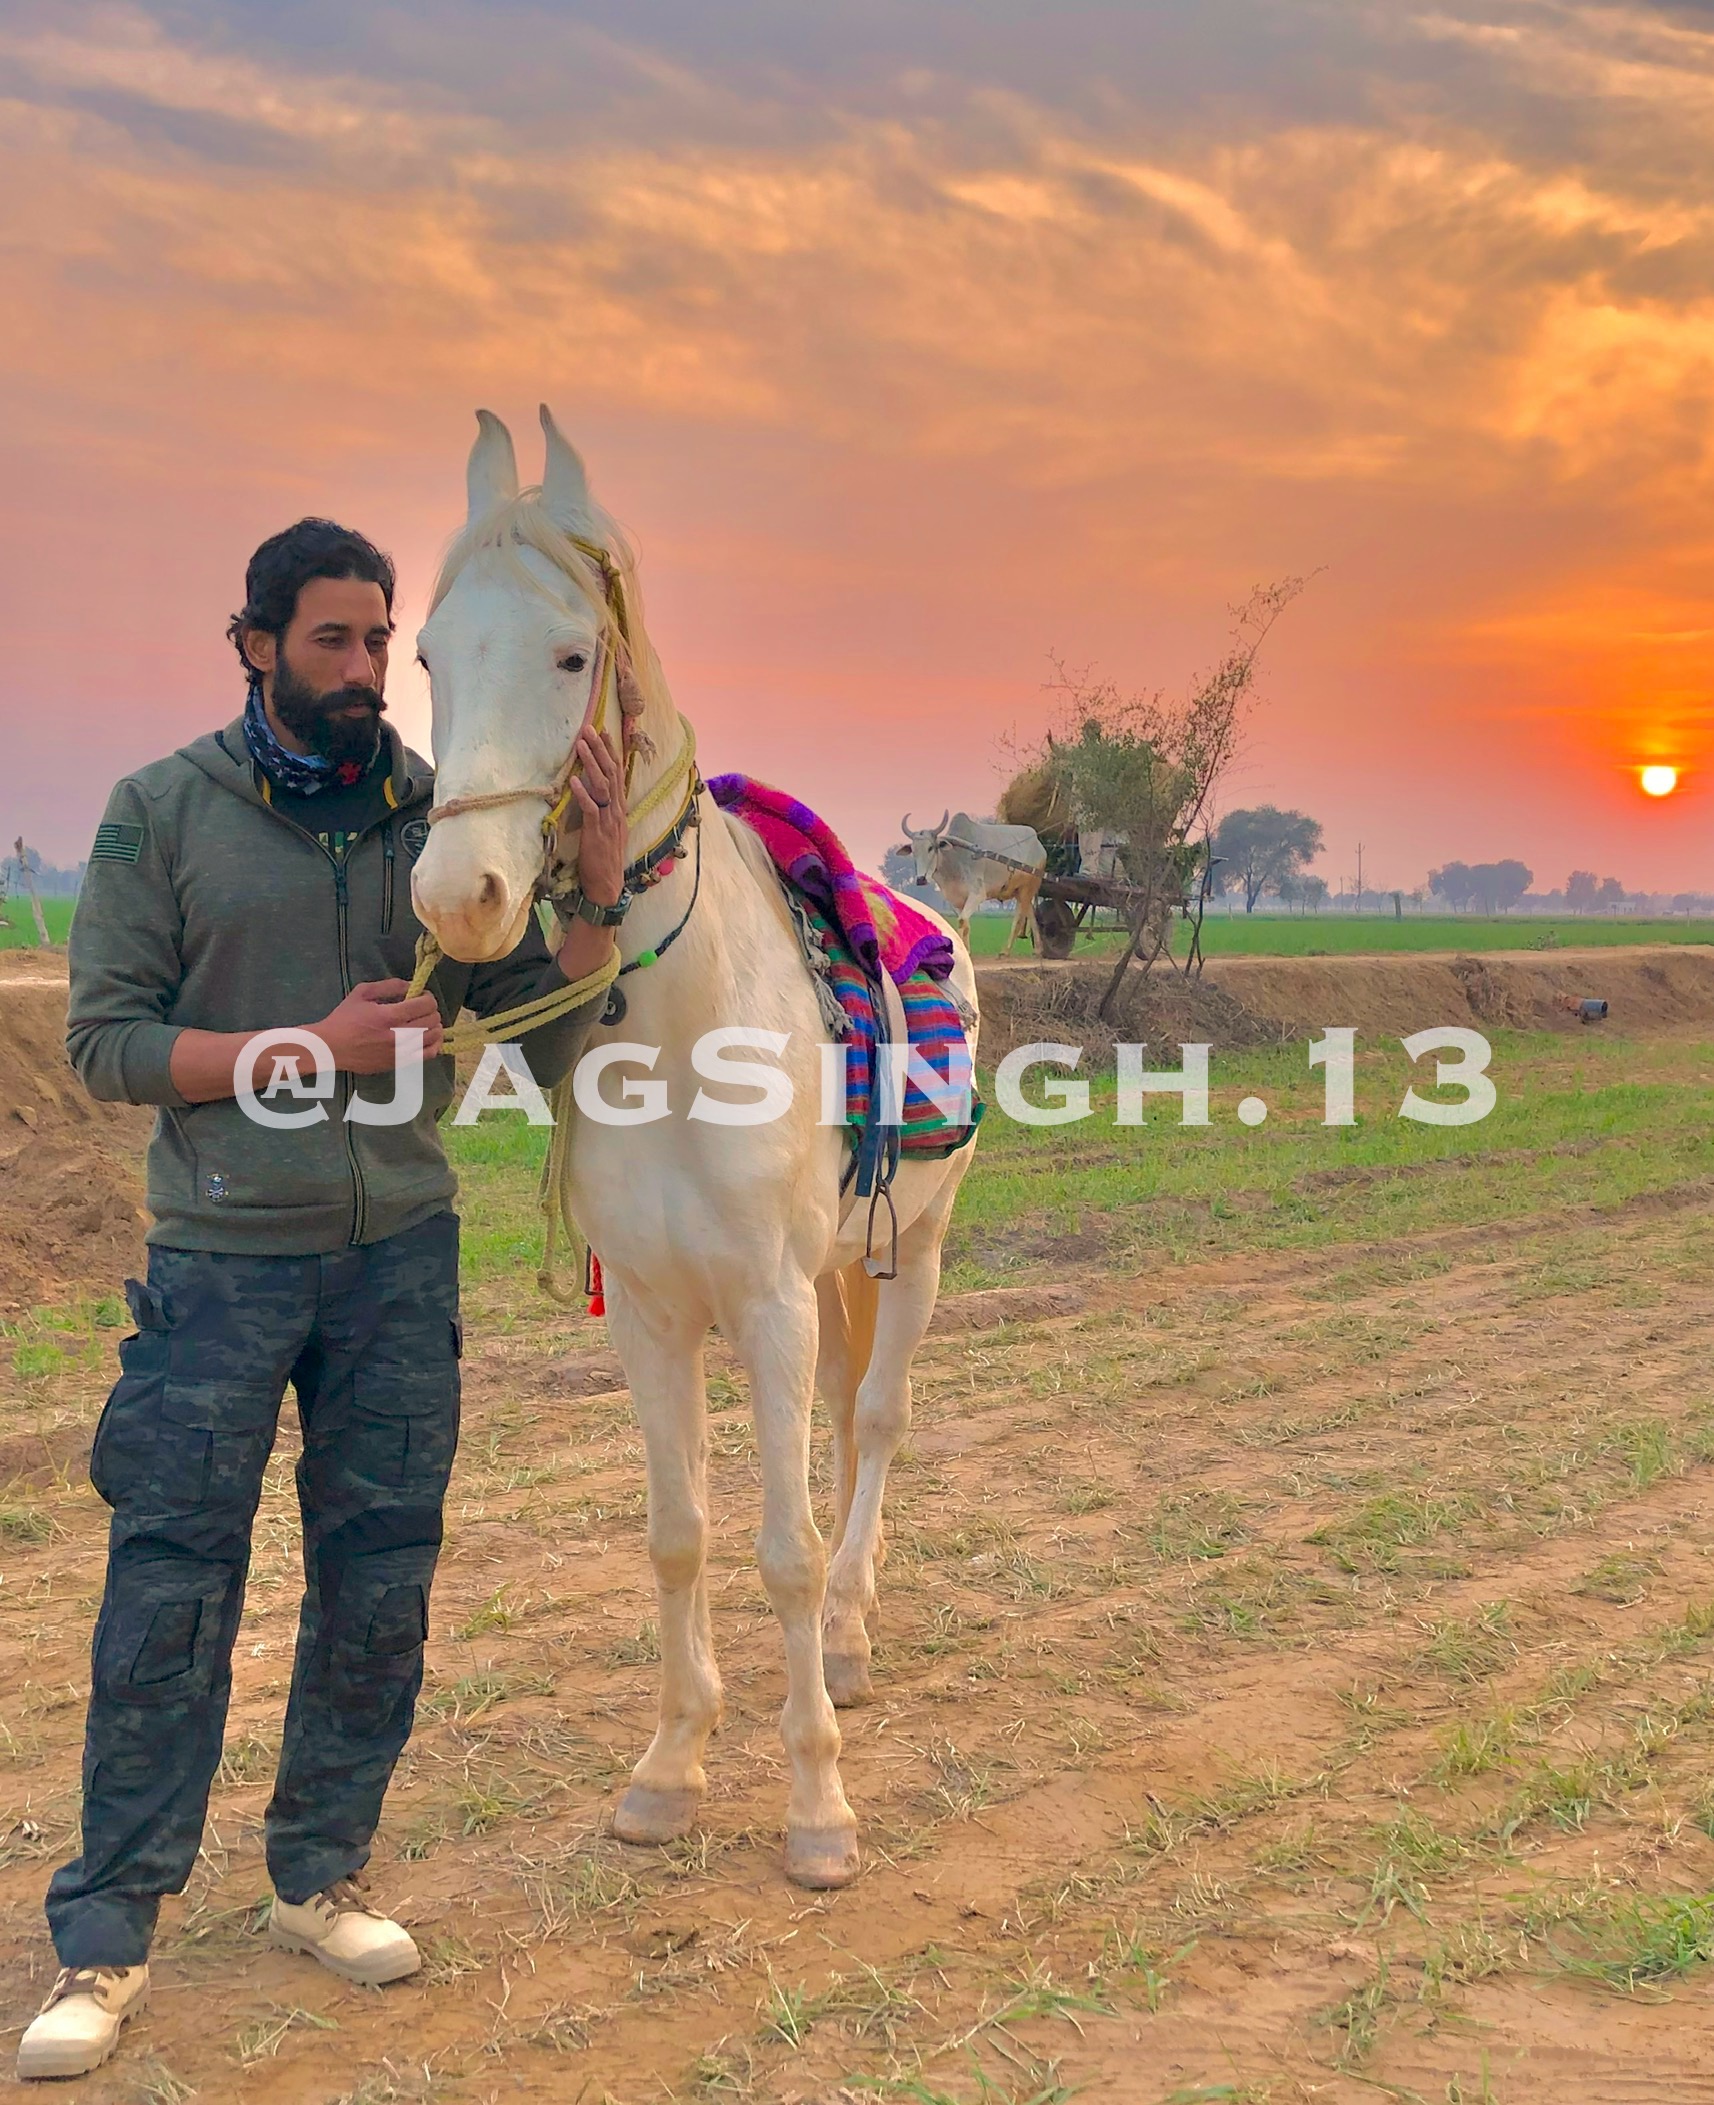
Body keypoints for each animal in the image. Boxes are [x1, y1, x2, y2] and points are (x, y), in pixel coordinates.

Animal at [406, 402, 981, 1886]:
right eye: (425, 652)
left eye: (570, 653)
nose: (459, 896)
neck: (680, 1027)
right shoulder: (655, 1314)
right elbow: (677, 1538)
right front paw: (671, 1766)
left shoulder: (770, 1304)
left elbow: (781, 1549)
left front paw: (817, 1806)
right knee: (838, 1418)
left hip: (912, 1255)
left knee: (873, 1421)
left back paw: (848, 1631)